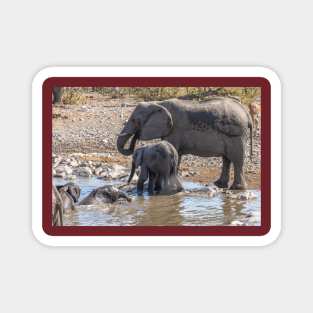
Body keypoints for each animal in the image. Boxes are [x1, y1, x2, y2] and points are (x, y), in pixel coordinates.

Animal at [116, 97, 252, 189]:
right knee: (226, 159)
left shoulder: (174, 129)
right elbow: (177, 154)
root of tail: (247, 113)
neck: (157, 104)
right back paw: (219, 184)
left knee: (237, 159)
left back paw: (237, 188)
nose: (136, 135)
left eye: (135, 120)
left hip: (236, 135)